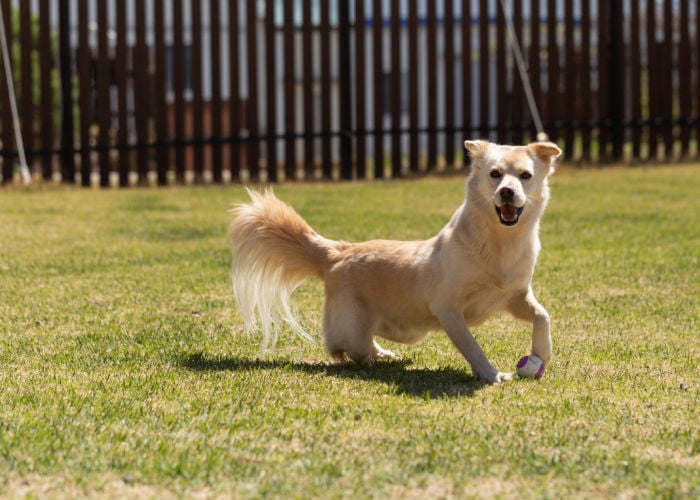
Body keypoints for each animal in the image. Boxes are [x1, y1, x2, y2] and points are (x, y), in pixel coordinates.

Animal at [230, 141, 564, 382]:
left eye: (525, 176)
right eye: (495, 174)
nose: (507, 192)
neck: (501, 242)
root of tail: (338, 252)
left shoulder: (515, 296)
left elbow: (543, 316)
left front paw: (541, 354)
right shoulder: (449, 309)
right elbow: (472, 345)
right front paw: (492, 374)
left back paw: (387, 355)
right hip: (354, 327)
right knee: (344, 348)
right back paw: (370, 358)